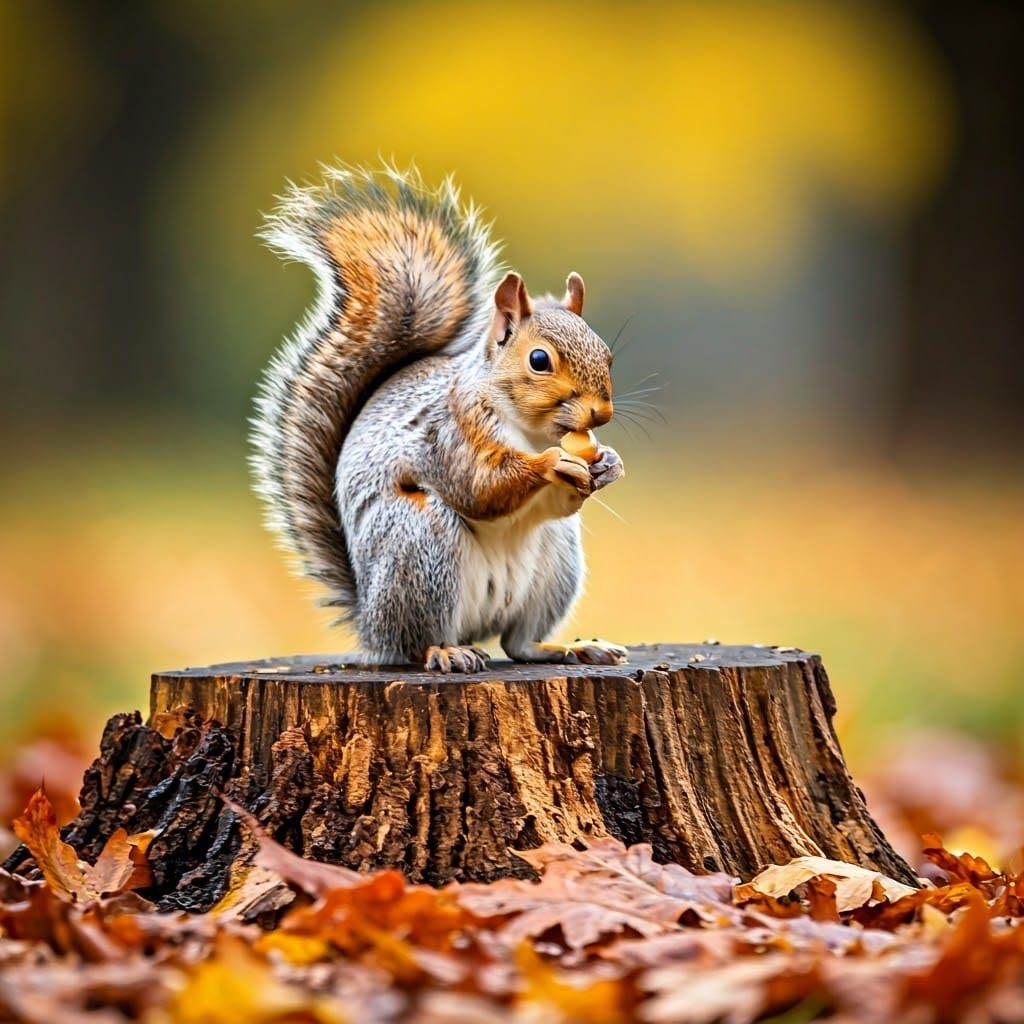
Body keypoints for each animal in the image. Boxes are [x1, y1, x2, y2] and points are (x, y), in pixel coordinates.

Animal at [251, 164, 626, 673]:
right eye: (539, 360)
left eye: (607, 355)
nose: (600, 414)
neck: (529, 431)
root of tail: (370, 624)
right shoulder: (449, 432)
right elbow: (479, 487)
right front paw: (550, 464)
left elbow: (556, 502)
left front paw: (608, 463)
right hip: (420, 544)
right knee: (416, 641)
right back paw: (444, 651)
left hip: (555, 562)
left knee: (518, 642)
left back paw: (570, 647)